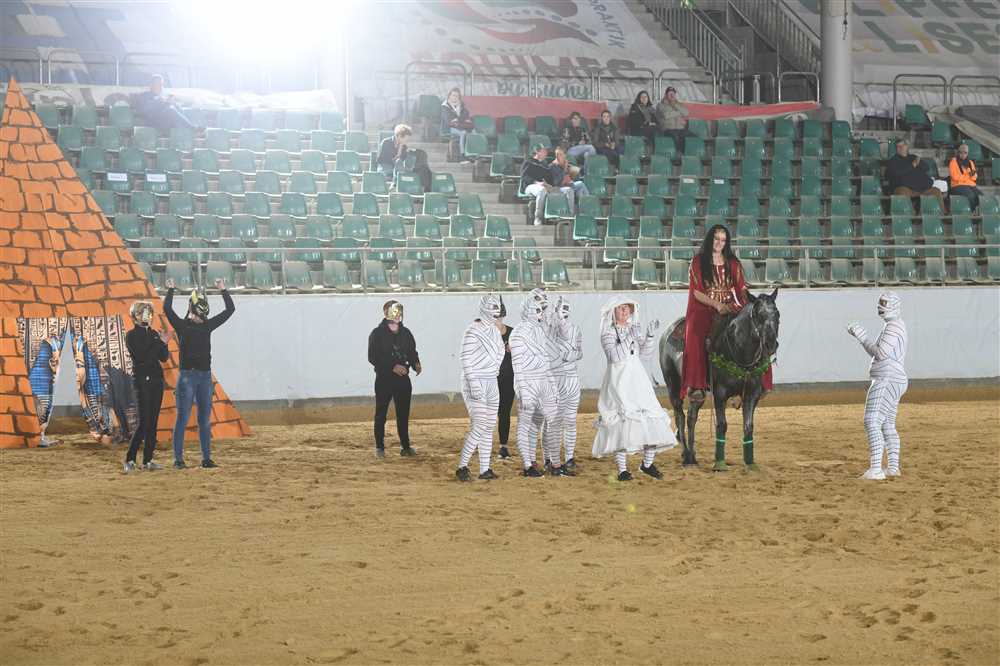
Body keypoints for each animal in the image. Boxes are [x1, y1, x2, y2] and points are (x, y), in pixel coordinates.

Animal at [658, 289, 780, 471]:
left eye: (777, 314)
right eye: (758, 315)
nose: (770, 344)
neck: (738, 349)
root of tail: (669, 331)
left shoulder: (751, 394)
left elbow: (748, 426)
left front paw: (750, 463)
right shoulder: (720, 393)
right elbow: (722, 425)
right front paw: (720, 464)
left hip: (698, 392)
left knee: (691, 417)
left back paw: (692, 455)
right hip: (673, 385)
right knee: (679, 415)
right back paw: (686, 455)